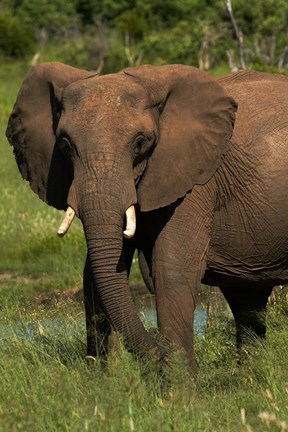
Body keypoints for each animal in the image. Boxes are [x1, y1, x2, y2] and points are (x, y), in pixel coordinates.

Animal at [6, 61, 288, 374]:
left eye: (140, 142)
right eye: (66, 145)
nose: (157, 351)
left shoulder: (196, 180)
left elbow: (173, 270)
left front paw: (179, 385)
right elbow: (93, 274)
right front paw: (103, 377)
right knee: (247, 300)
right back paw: (250, 377)